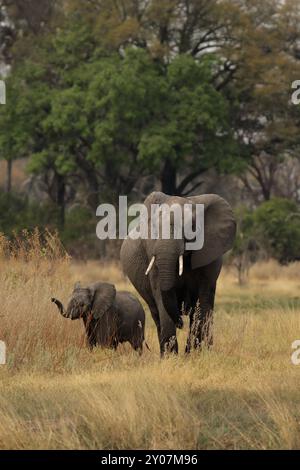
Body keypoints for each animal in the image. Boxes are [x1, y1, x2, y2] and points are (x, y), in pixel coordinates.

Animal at [120, 191, 237, 356]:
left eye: (191, 227)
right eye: (154, 228)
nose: (181, 322)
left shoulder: (209, 258)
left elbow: (202, 301)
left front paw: (194, 355)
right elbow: (161, 296)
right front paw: (172, 357)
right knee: (156, 314)